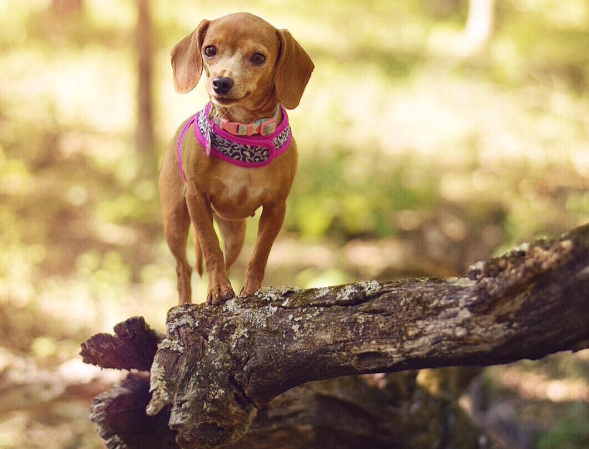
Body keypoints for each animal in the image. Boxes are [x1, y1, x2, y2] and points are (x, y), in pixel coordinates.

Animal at [156, 12, 312, 304]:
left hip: (234, 232)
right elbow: (210, 246)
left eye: (258, 57)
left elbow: (260, 253)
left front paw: (250, 291)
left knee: (227, 258)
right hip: (174, 221)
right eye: (210, 50)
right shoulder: (196, 199)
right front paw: (218, 288)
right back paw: (185, 302)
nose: (221, 82)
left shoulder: (276, 207)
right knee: (183, 269)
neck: (244, 134)